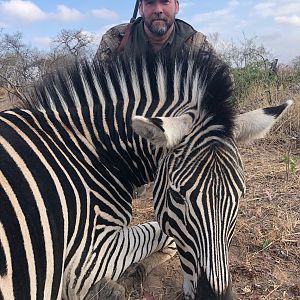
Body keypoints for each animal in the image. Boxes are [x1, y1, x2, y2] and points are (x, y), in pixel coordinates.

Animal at [0, 48, 290, 298]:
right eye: (177, 197)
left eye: (241, 195)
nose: (215, 298)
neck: (96, 154)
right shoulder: (86, 261)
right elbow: (163, 234)